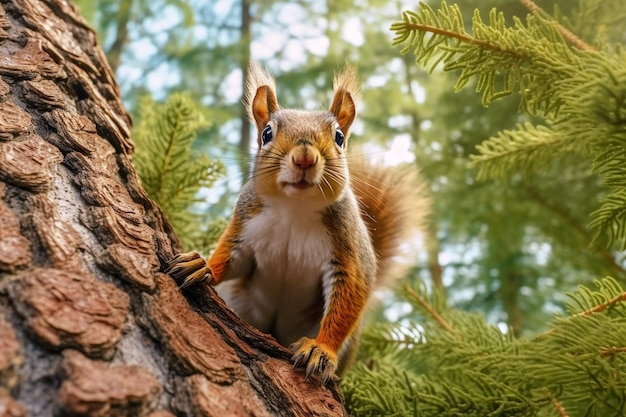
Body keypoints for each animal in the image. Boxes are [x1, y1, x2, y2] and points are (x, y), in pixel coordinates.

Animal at [165, 61, 428, 384]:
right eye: (267, 133)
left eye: (339, 137)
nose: (304, 158)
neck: (295, 207)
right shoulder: (245, 225)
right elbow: (231, 259)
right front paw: (202, 265)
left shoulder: (348, 252)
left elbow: (349, 296)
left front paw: (320, 349)